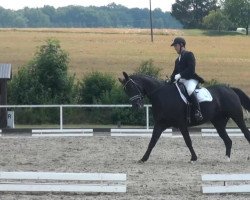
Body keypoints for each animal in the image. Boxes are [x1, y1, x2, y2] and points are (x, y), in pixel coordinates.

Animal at [118, 72, 250, 162]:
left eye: (132, 87)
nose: (137, 106)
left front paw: (194, 158)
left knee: (245, 133)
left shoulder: (181, 124)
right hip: (219, 123)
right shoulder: (160, 124)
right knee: (227, 140)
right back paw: (226, 158)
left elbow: (188, 141)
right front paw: (143, 158)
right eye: (126, 90)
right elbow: (152, 141)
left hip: (237, 117)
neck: (162, 95)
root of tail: (230, 90)